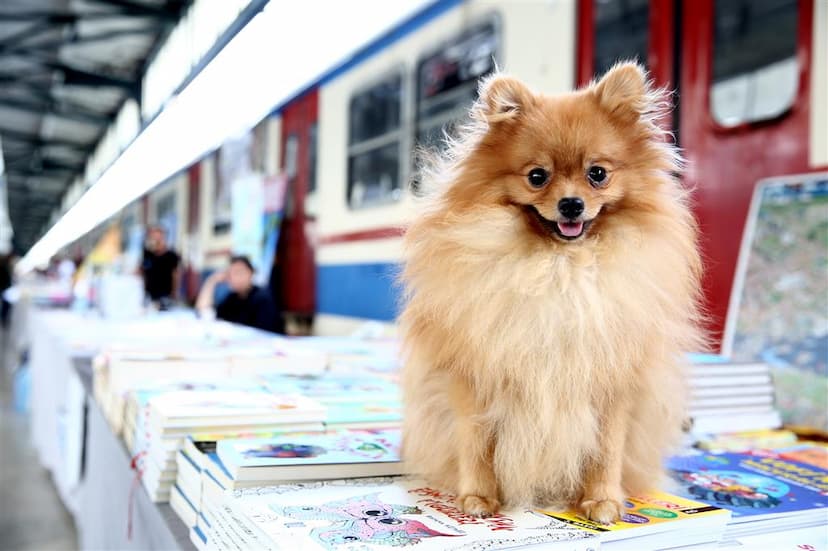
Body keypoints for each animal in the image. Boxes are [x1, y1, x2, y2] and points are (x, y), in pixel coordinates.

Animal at [402, 62, 704, 524]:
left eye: (597, 174)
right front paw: (478, 498)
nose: (571, 204)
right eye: (537, 177)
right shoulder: (472, 378)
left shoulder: (613, 384)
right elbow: (476, 441)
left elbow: (606, 449)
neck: (560, 269)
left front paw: (603, 502)